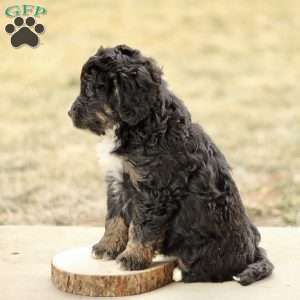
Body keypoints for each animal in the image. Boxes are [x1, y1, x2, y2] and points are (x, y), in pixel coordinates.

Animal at [68, 45, 274, 286]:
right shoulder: (117, 181)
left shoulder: (154, 189)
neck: (140, 125)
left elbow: (141, 228)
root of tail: (254, 252)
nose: (69, 113)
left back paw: (180, 271)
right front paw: (105, 248)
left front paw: (130, 258)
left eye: (91, 89)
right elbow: (114, 218)